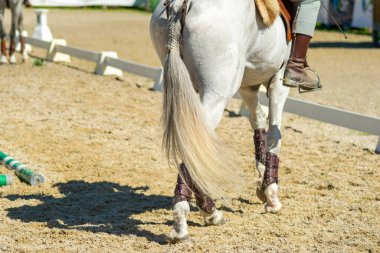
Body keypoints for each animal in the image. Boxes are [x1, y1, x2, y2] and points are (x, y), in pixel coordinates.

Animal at [150, 0, 290, 242]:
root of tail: (181, 4)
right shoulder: (279, 82)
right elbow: (275, 133)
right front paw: (271, 195)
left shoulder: (248, 86)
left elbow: (258, 121)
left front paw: (262, 184)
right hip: (217, 93)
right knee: (195, 144)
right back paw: (185, 222)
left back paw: (208, 211)